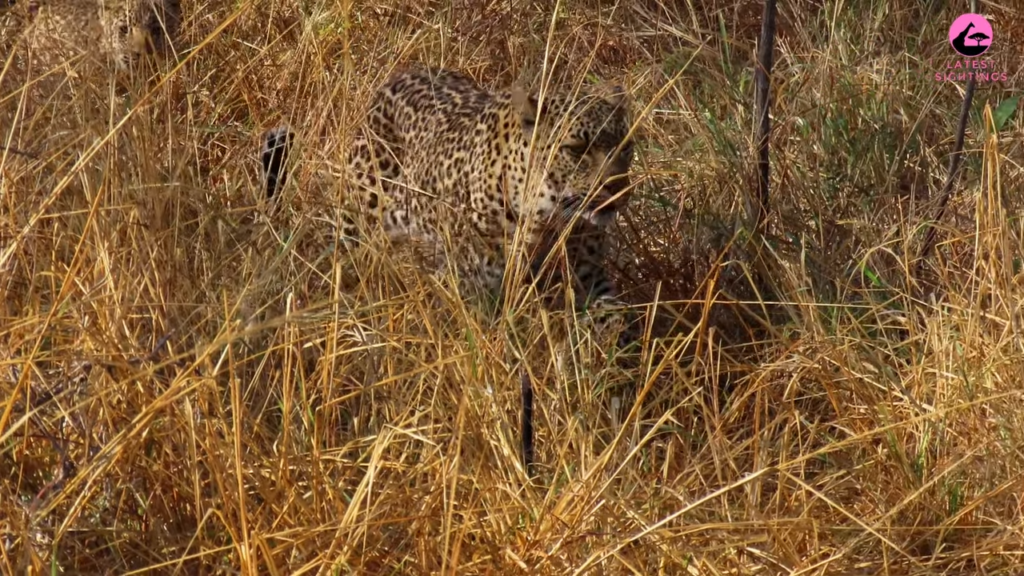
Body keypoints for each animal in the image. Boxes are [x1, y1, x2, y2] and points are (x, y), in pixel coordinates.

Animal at [259, 66, 642, 353]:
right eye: (576, 149)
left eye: (626, 146)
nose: (615, 188)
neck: (545, 217)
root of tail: (403, 74)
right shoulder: (471, 287)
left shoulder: (588, 276)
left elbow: (617, 318)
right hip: (360, 226)